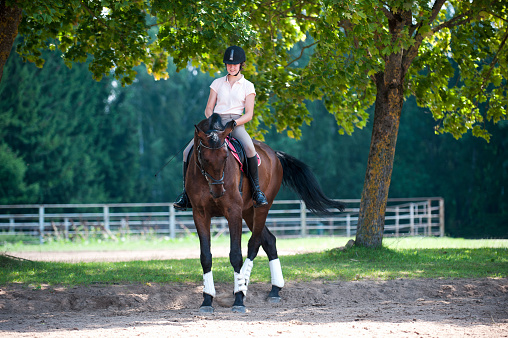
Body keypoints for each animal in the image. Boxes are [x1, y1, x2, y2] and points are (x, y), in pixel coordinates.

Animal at [185, 112, 344, 312]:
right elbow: (205, 256)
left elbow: (236, 255)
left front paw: (238, 299)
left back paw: (244, 287)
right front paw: (207, 299)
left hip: (261, 208)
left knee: (255, 243)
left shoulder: (233, 212)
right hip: (248, 212)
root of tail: (274, 154)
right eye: (204, 159)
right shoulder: (200, 214)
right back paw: (274, 289)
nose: (218, 191)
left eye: (225, 157)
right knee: (269, 240)